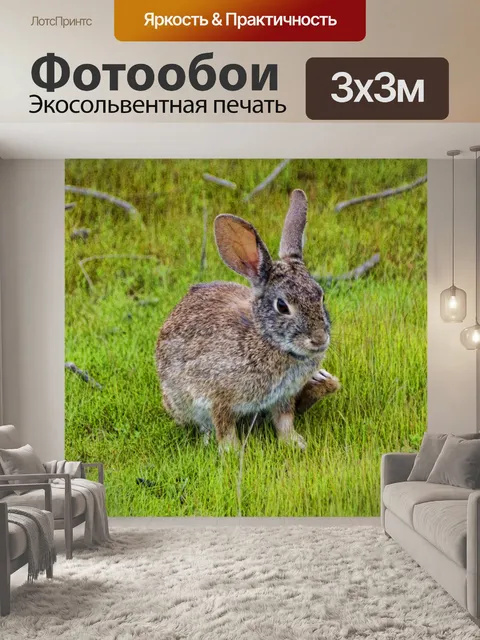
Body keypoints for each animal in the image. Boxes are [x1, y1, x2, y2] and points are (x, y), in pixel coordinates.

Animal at [156, 189, 340, 450]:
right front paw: (232, 451)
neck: (267, 340)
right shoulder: (217, 395)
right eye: (282, 306)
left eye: (321, 295)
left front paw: (295, 443)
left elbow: (284, 420)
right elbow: (224, 425)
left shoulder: (283, 397)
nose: (319, 339)